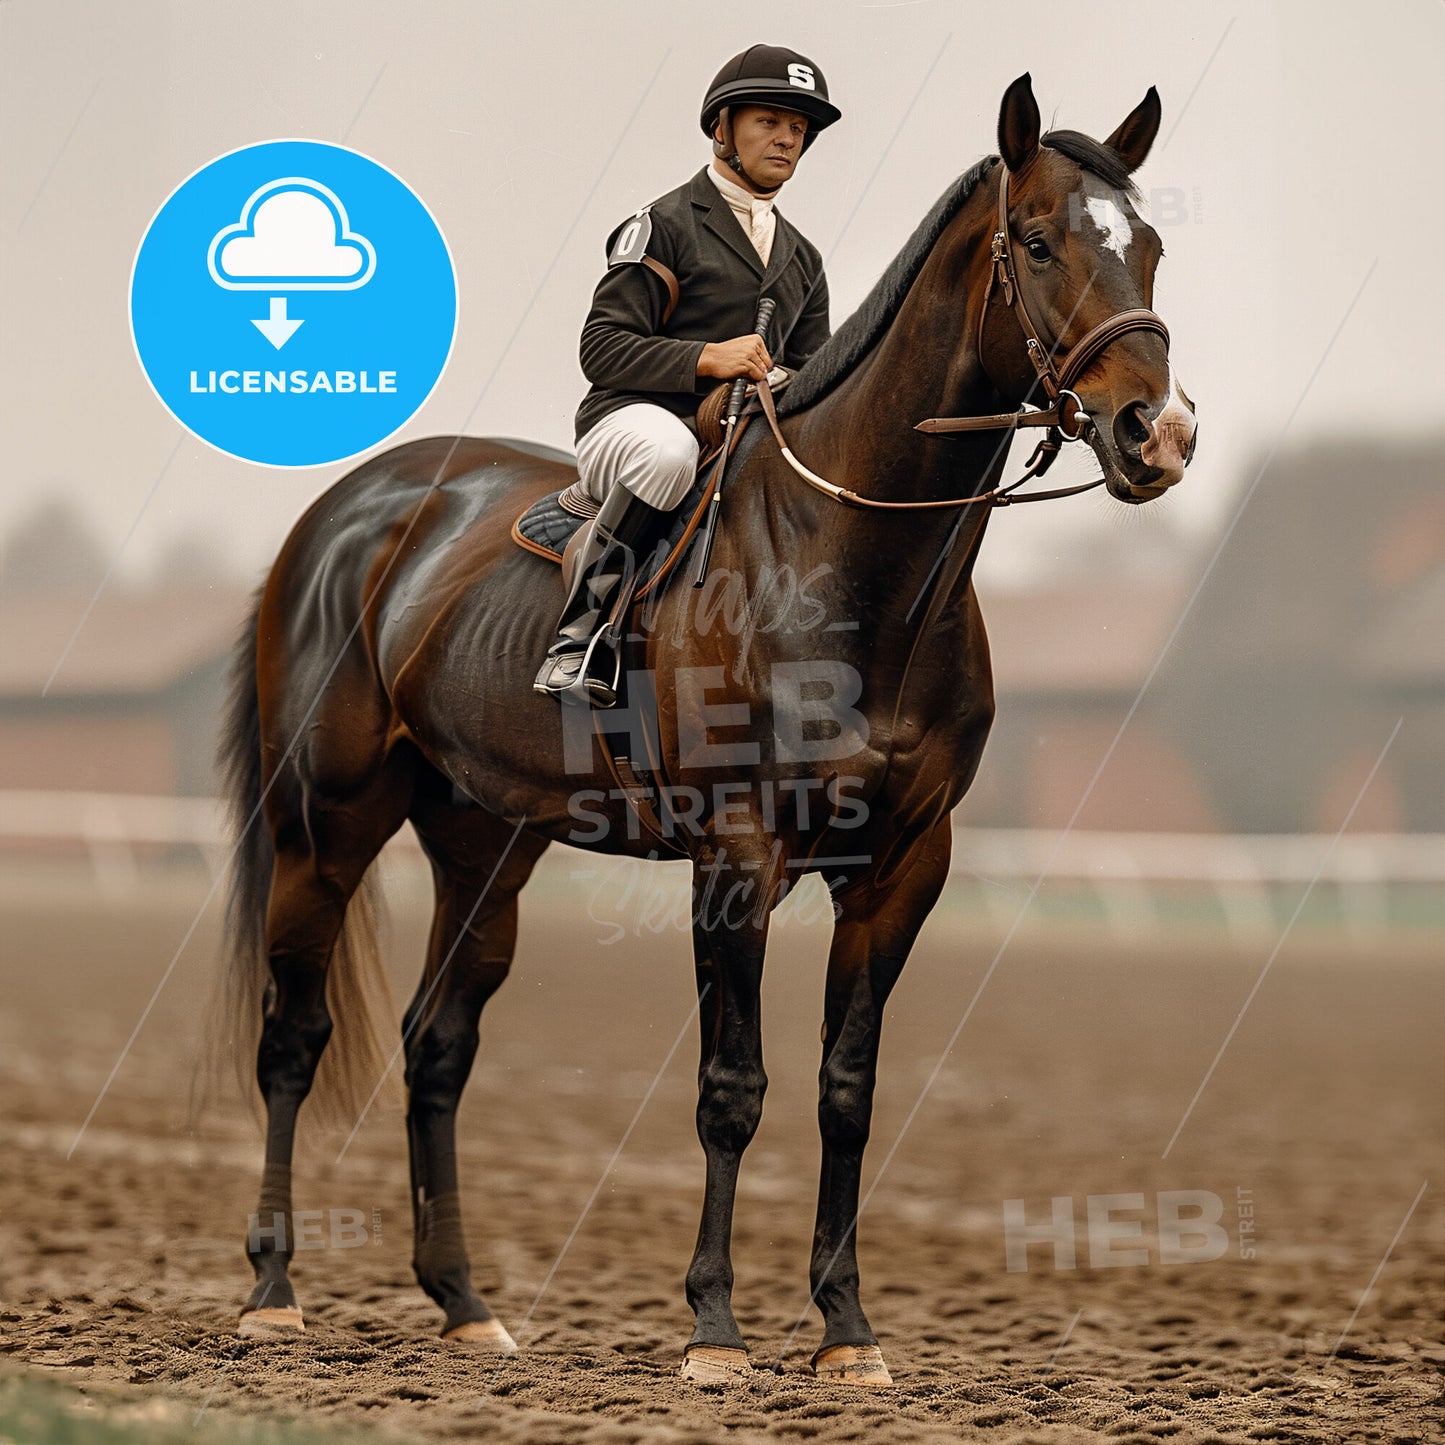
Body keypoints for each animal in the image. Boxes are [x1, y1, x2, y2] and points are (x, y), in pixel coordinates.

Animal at [211, 73, 1198, 1386]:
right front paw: (715, 1328)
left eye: (1147, 246)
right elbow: (732, 1086)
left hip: (486, 845)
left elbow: (844, 1089)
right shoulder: (732, 858)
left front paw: (845, 1328)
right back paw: (273, 1290)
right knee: (294, 1035)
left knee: (437, 1045)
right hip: (324, 825)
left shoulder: (901, 866)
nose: (1158, 434)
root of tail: (345, 512)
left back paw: (465, 1304)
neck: (850, 566)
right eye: (1036, 242)